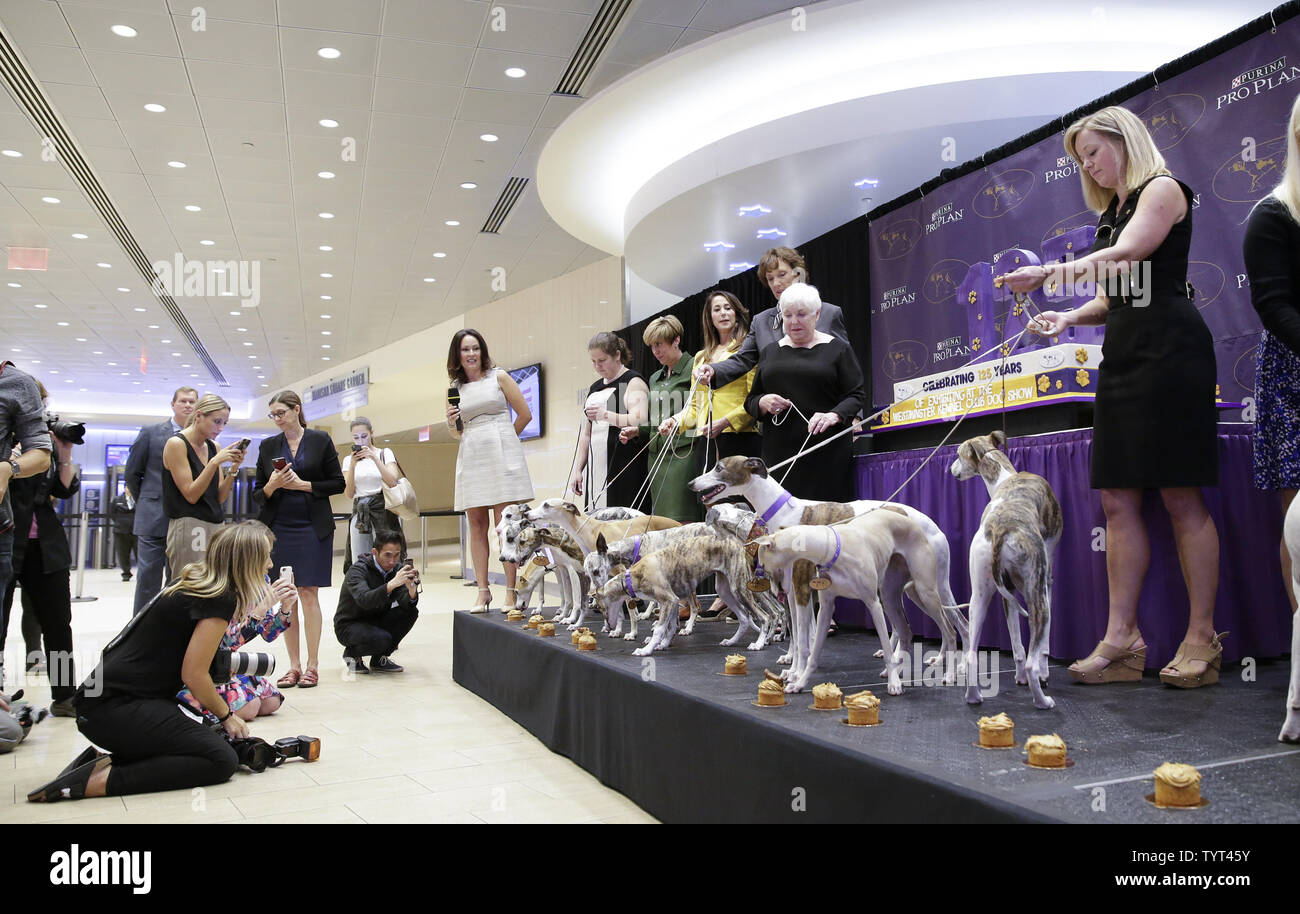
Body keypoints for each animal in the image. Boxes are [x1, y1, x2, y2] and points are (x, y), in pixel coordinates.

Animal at [522, 499, 681, 644]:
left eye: (546, 505)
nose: (526, 514)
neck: (590, 531)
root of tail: (679, 524)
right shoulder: (603, 577)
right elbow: (615, 609)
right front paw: (615, 630)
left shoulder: (621, 575)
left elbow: (630, 610)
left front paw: (632, 633)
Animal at [595, 535, 780, 657]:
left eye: (601, 607)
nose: (608, 628)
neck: (634, 575)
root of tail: (740, 544)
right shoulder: (672, 601)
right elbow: (670, 627)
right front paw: (663, 644)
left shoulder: (668, 600)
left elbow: (660, 629)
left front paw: (647, 650)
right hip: (725, 590)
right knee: (743, 618)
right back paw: (731, 641)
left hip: (740, 589)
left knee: (764, 617)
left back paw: (759, 644)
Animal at [754, 507, 946, 691]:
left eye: (763, 565)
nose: (775, 592)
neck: (833, 549)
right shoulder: (825, 607)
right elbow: (814, 653)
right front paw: (800, 683)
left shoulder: (873, 604)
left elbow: (885, 645)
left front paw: (894, 684)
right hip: (893, 595)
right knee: (908, 631)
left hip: (924, 593)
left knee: (949, 627)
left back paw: (943, 666)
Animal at [951, 431, 1060, 712]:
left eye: (957, 455)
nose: (951, 470)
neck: (1005, 478)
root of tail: (1001, 529)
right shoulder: (1047, 582)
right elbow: (1043, 648)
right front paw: (1045, 674)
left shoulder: (1006, 597)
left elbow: (1017, 644)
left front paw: (1018, 676)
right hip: (1037, 597)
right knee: (1033, 661)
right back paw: (1042, 700)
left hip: (979, 596)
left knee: (972, 655)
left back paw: (973, 697)